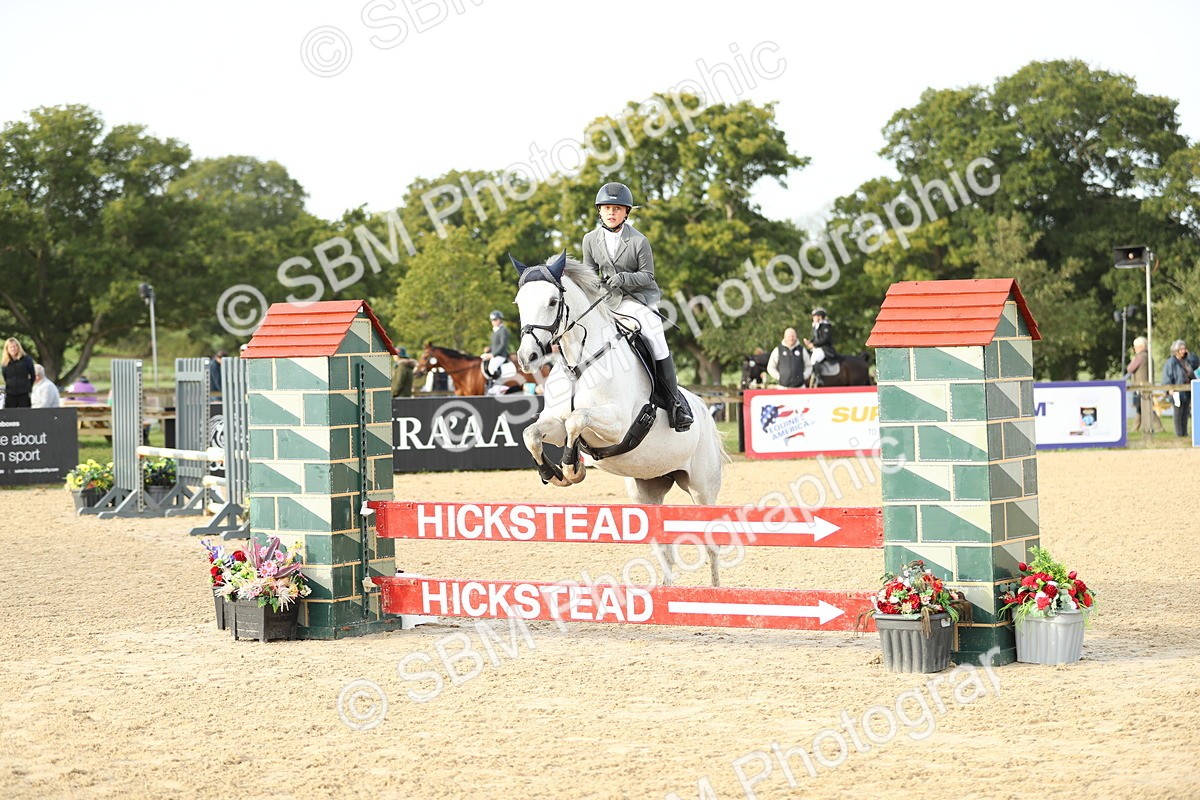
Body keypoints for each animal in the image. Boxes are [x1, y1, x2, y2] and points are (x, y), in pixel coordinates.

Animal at [511, 253, 728, 586]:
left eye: (552, 301)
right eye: (519, 302)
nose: (528, 358)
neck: (578, 363)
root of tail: (707, 412)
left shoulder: (617, 425)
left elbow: (577, 419)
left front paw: (571, 467)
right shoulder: (554, 424)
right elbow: (533, 434)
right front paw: (553, 473)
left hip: (702, 489)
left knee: (711, 544)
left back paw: (715, 594)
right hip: (646, 490)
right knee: (664, 549)